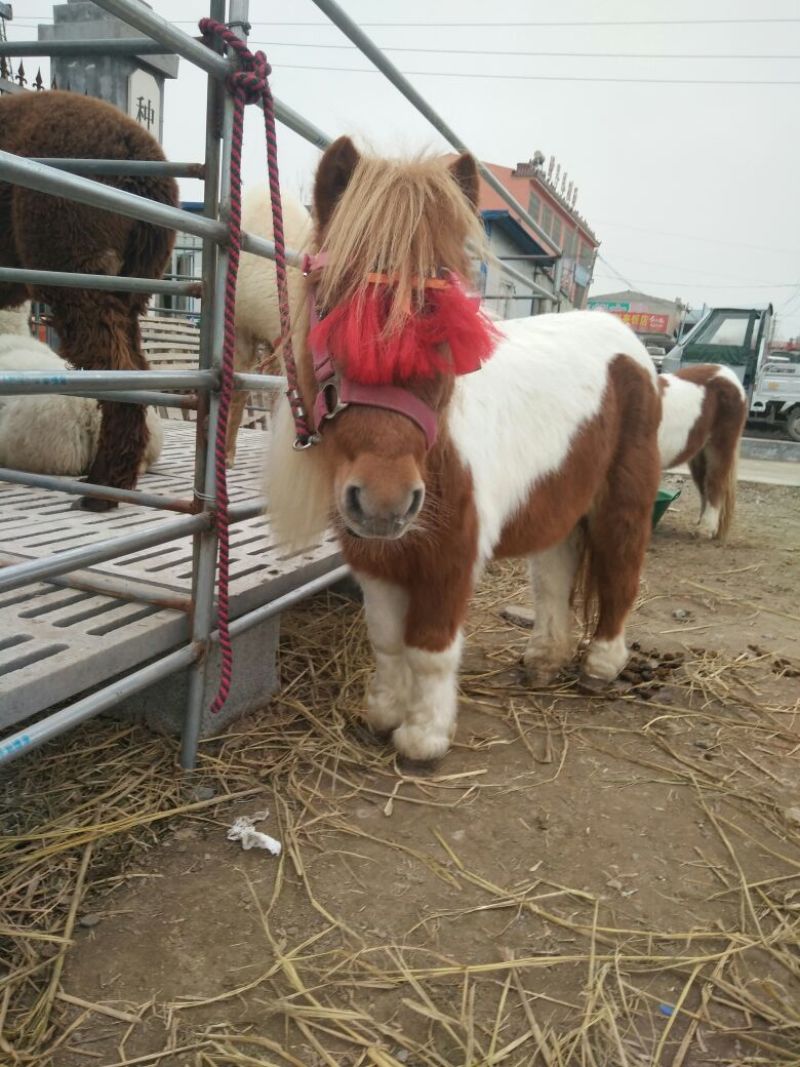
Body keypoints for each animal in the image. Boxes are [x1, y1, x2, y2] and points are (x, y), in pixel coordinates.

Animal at [266, 137, 662, 761]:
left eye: (445, 328)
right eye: (329, 311)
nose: (384, 501)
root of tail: (630, 344)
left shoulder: (452, 557)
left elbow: (429, 650)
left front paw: (423, 737)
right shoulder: (375, 558)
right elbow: (386, 641)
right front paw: (383, 714)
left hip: (623, 501)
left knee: (622, 570)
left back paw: (601, 666)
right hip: (561, 504)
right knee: (554, 574)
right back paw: (543, 661)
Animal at [658, 365, 747, 539]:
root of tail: (727, 373)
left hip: (719, 448)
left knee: (714, 483)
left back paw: (706, 529)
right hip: (699, 456)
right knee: (703, 487)